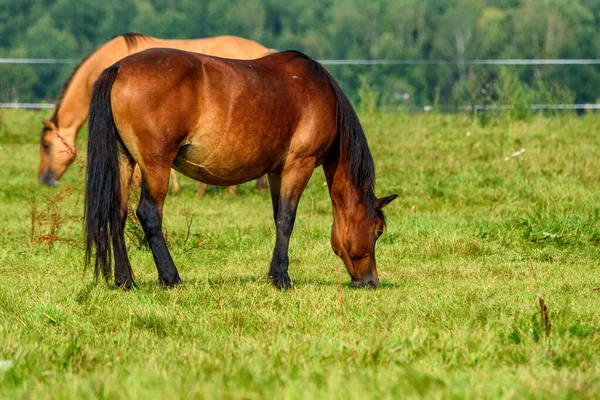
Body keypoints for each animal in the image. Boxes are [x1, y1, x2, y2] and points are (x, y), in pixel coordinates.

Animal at [83, 48, 394, 290]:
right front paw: (282, 278)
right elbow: (287, 219)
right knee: (148, 213)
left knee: (118, 212)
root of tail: (119, 68)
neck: (318, 91)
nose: (370, 282)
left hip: (124, 160)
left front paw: (274, 273)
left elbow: (277, 217)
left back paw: (125, 280)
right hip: (156, 165)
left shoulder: (277, 172)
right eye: (378, 231)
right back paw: (171, 278)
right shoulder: (299, 164)